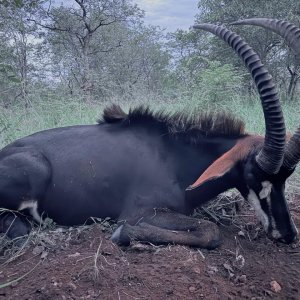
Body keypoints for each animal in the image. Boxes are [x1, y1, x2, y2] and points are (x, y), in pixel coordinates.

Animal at [0, 23, 296, 248]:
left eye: (285, 178)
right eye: (253, 176)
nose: (288, 234)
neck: (175, 158)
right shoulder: (140, 212)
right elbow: (210, 232)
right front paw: (122, 234)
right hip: (35, 169)